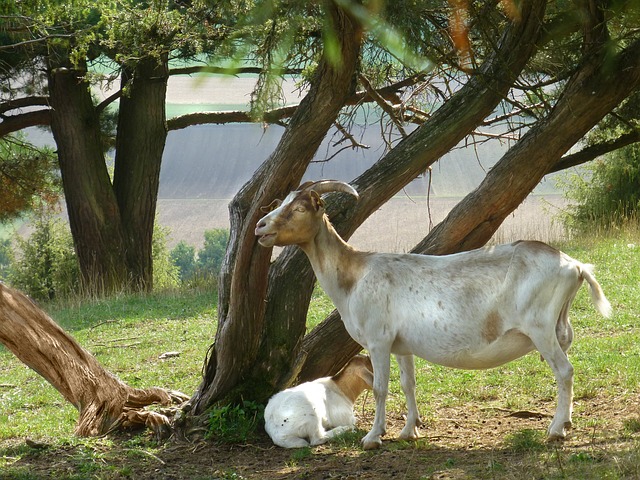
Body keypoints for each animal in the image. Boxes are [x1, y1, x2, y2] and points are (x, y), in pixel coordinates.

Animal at [252, 179, 612, 450]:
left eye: (299, 208)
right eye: (281, 203)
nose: (260, 227)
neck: (354, 274)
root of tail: (574, 265)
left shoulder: (378, 340)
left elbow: (381, 387)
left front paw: (373, 437)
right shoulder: (401, 345)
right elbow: (408, 384)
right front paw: (408, 431)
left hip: (540, 328)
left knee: (565, 371)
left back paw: (555, 431)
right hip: (556, 327)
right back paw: (566, 422)